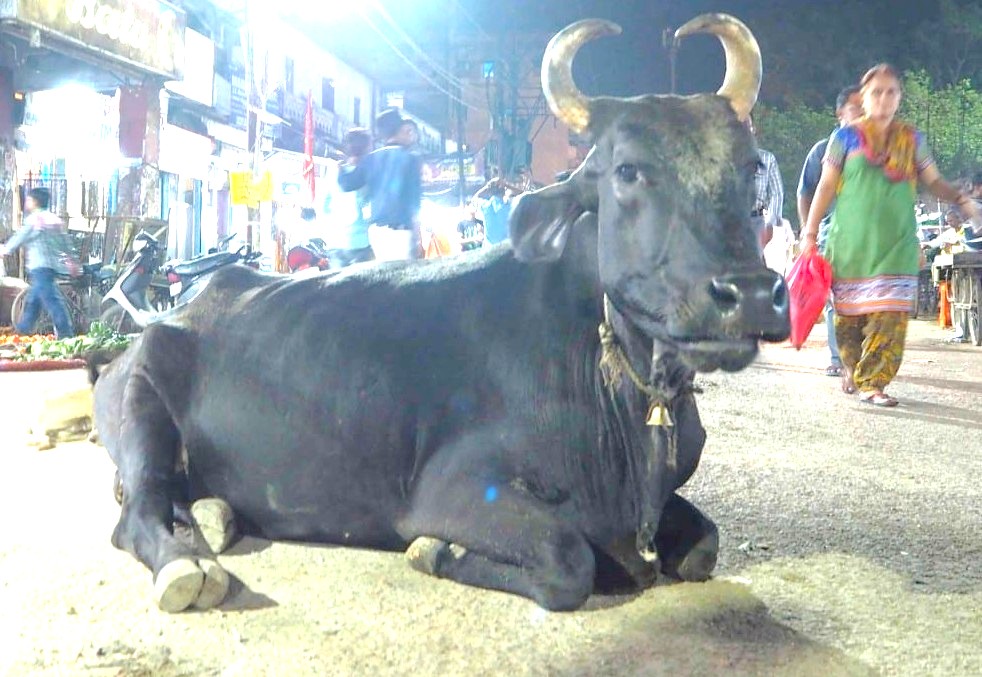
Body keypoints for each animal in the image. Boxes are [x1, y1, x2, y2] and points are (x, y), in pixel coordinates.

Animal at [92, 13, 789, 613]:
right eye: (627, 170)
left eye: (750, 169)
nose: (752, 293)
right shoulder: (454, 489)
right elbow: (568, 560)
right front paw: (435, 551)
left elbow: (704, 547)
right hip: (142, 409)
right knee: (138, 514)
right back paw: (187, 564)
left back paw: (216, 513)